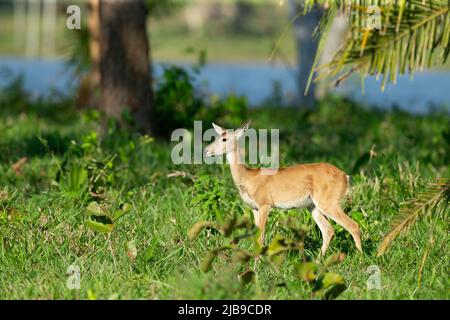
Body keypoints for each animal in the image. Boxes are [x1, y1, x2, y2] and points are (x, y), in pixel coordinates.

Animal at [204, 121, 362, 256]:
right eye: (216, 136)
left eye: (224, 139)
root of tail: (345, 177)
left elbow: (261, 237)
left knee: (353, 225)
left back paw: (361, 259)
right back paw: (319, 260)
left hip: (328, 201)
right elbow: (256, 237)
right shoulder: (254, 207)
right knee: (328, 230)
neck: (248, 178)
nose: (206, 151)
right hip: (313, 205)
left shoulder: (265, 203)